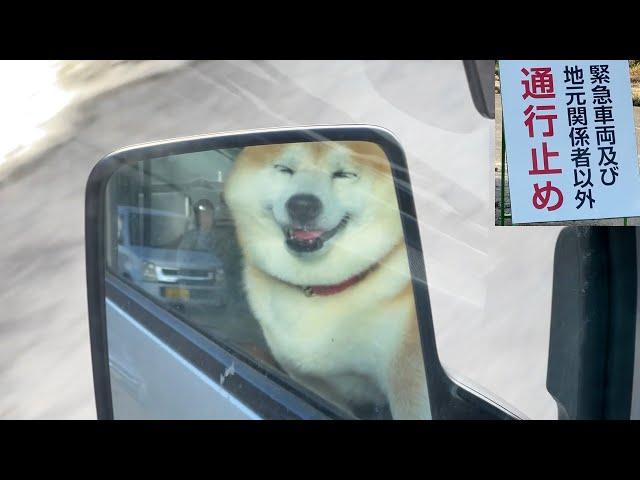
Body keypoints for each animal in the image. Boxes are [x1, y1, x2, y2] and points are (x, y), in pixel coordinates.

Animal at [225, 140, 430, 420]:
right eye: (285, 169)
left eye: (344, 174)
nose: (302, 205)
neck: (319, 290)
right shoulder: (311, 382)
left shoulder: (409, 376)